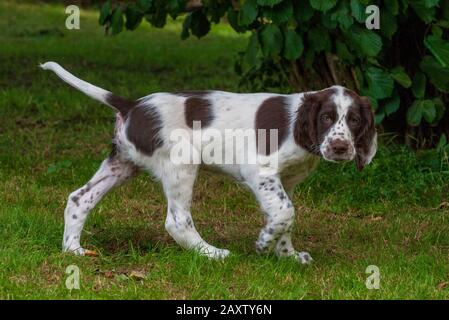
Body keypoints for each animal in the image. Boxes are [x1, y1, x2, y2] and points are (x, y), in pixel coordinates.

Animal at [41, 61, 374, 264]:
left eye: (355, 120)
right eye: (326, 118)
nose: (341, 148)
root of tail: (132, 105)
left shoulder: (285, 181)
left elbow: (285, 218)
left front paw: (287, 255)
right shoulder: (260, 172)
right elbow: (285, 213)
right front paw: (264, 244)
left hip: (122, 163)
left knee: (79, 198)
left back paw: (73, 249)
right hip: (181, 163)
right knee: (177, 220)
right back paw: (211, 253)